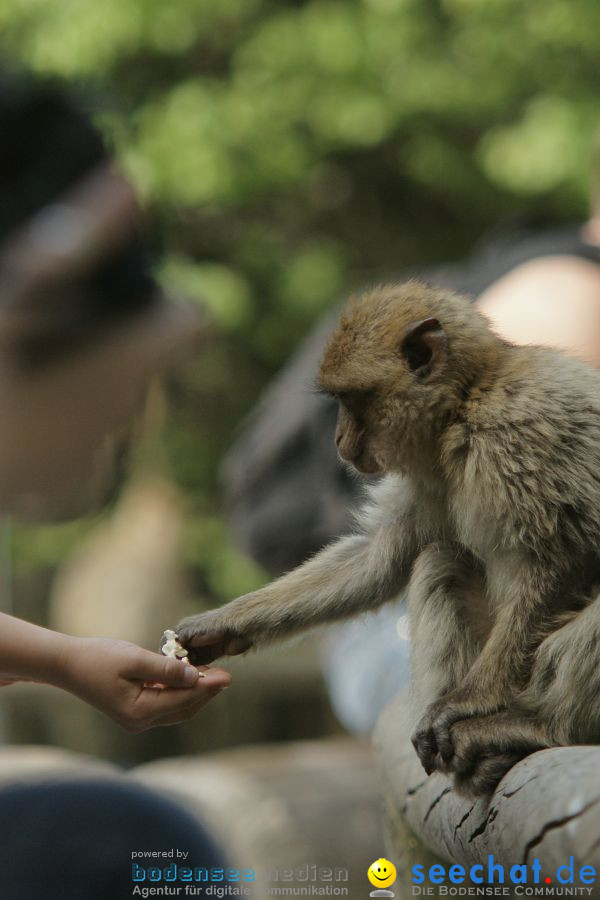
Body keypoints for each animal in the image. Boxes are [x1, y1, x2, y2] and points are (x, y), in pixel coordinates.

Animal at [171, 282, 600, 796]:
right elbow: (379, 558)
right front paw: (220, 625)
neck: (463, 407)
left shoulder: (518, 432)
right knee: (441, 561)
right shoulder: (431, 476)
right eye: (336, 401)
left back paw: (535, 726)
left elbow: (562, 563)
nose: (336, 438)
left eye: (350, 400)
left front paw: (468, 701)